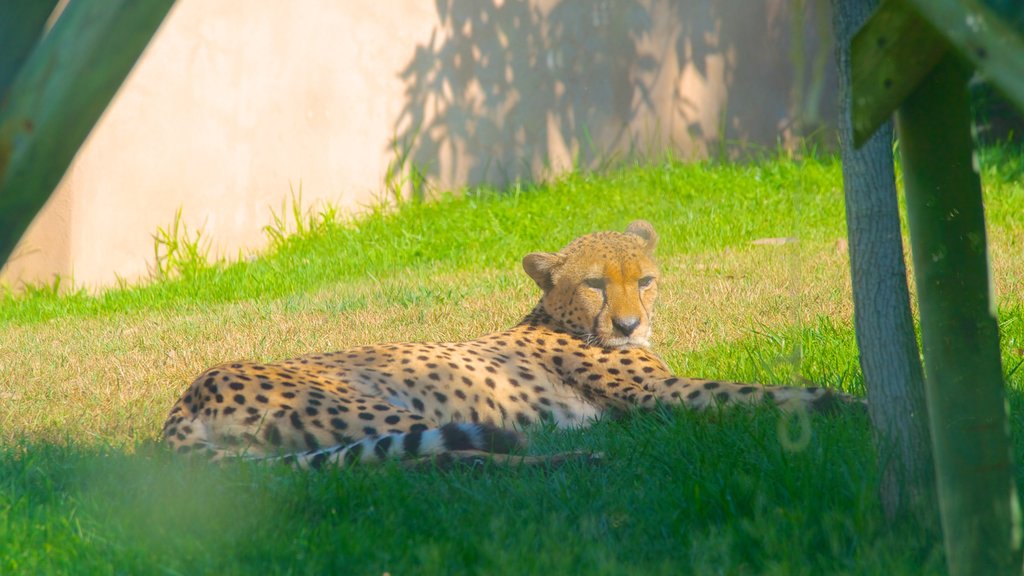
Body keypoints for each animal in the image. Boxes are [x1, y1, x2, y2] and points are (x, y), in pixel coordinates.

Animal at [163, 219, 860, 467]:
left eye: (645, 280)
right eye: (595, 285)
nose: (629, 326)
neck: (561, 318)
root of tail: (189, 394)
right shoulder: (667, 394)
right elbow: (761, 392)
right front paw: (846, 405)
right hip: (384, 409)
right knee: (457, 458)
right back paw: (574, 458)